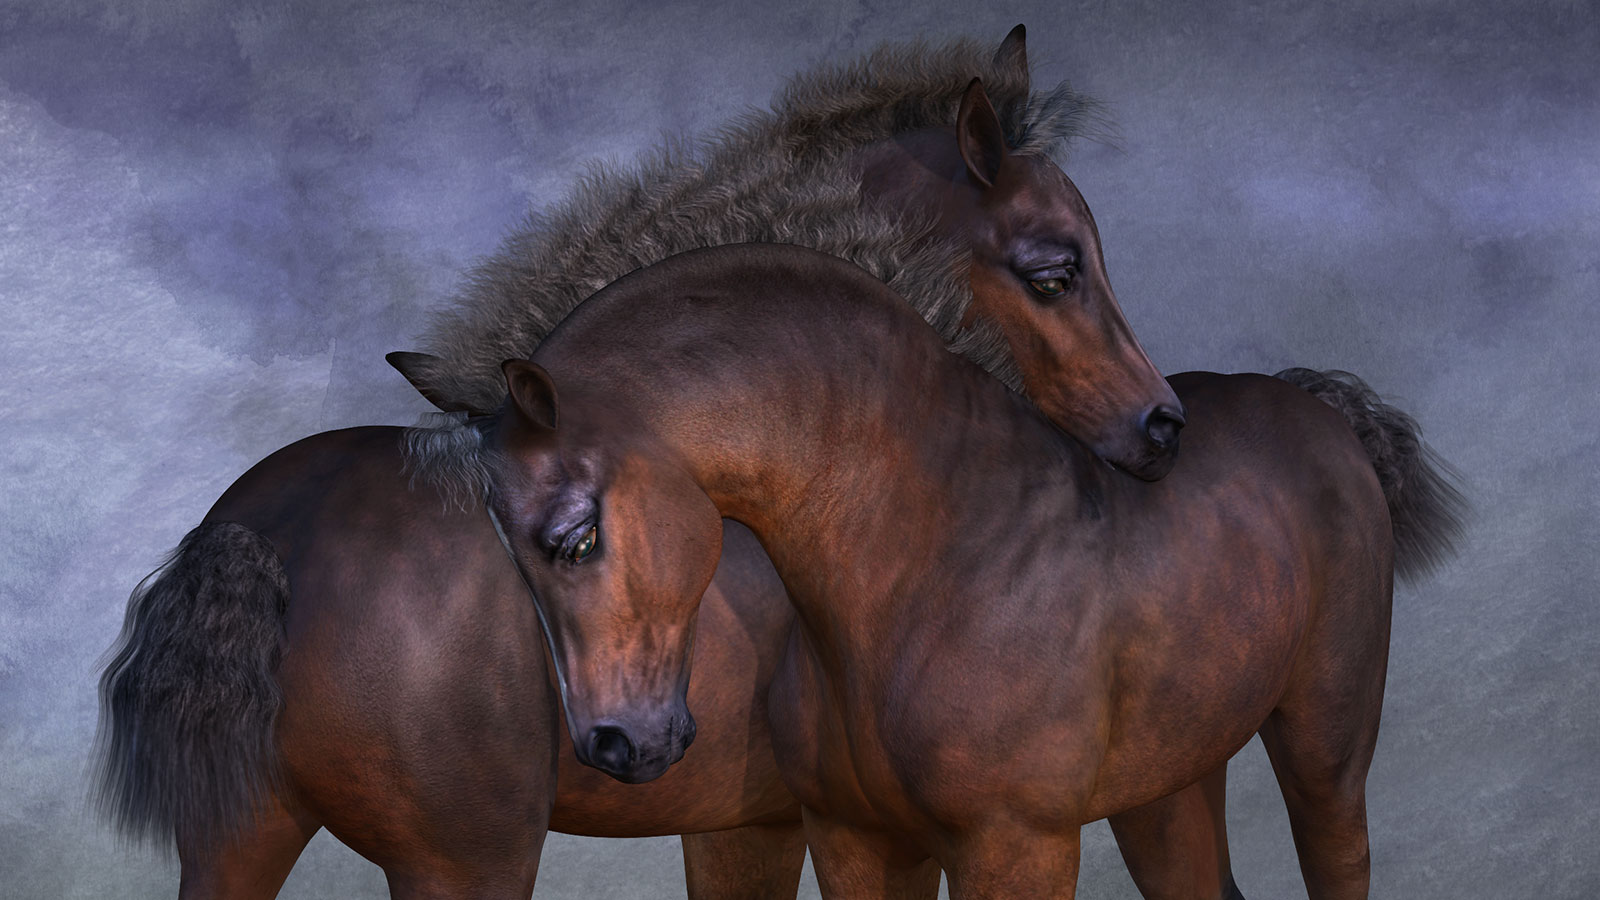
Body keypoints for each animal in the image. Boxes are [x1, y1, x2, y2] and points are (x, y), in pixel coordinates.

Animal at [436, 242, 1464, 899]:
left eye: (577, 536)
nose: (616, 744)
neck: (929, 560)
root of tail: (1323, 412)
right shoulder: (858, 841)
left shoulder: (1018, 846)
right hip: (1168, 785)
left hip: (1325, 747)